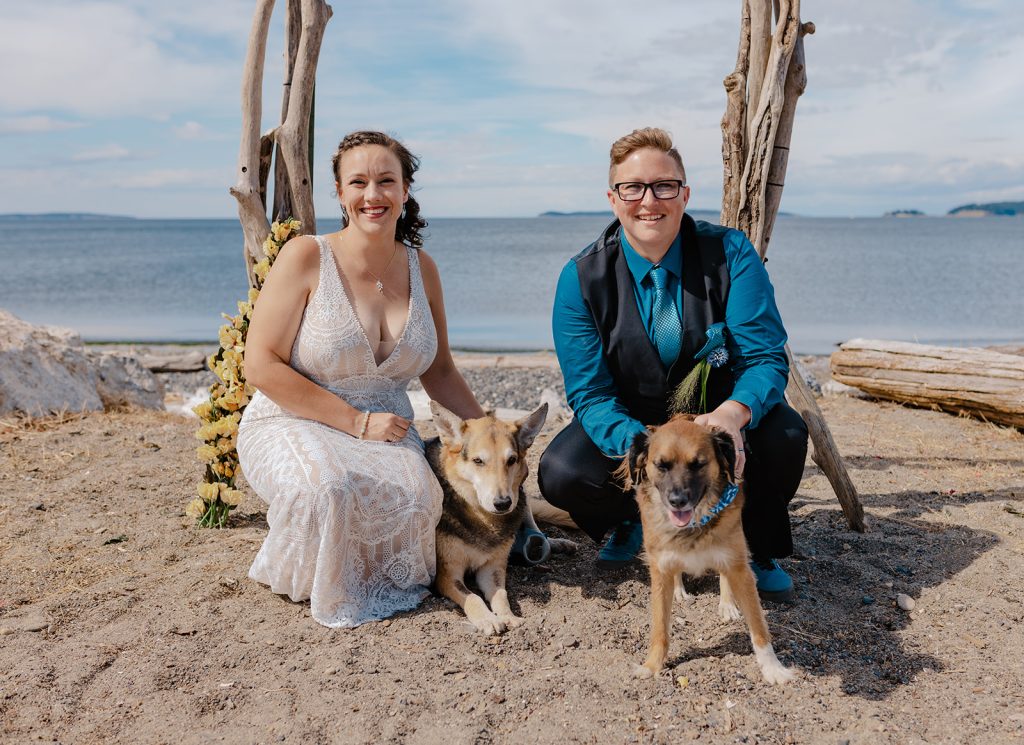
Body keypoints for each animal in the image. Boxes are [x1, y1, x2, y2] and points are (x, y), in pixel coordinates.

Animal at [425, 401, 552, 634]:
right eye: (478, 461)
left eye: (511, 460)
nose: (503, 503)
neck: (483, 518)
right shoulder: (447, 575)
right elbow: (473, 598)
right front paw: (487, 620)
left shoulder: (492, 568)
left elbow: (501, 595)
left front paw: (508, 616)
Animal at [618, 415, 794, 683]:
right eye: (661, 465)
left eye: (698, 464)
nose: (677, 501)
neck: (694, 524)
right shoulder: (659, 570)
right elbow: (659, 628)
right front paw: (652, 665)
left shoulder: (739, 568)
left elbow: (758, 627)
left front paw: (773, 668)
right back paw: (680, 589)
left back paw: (727, 604)